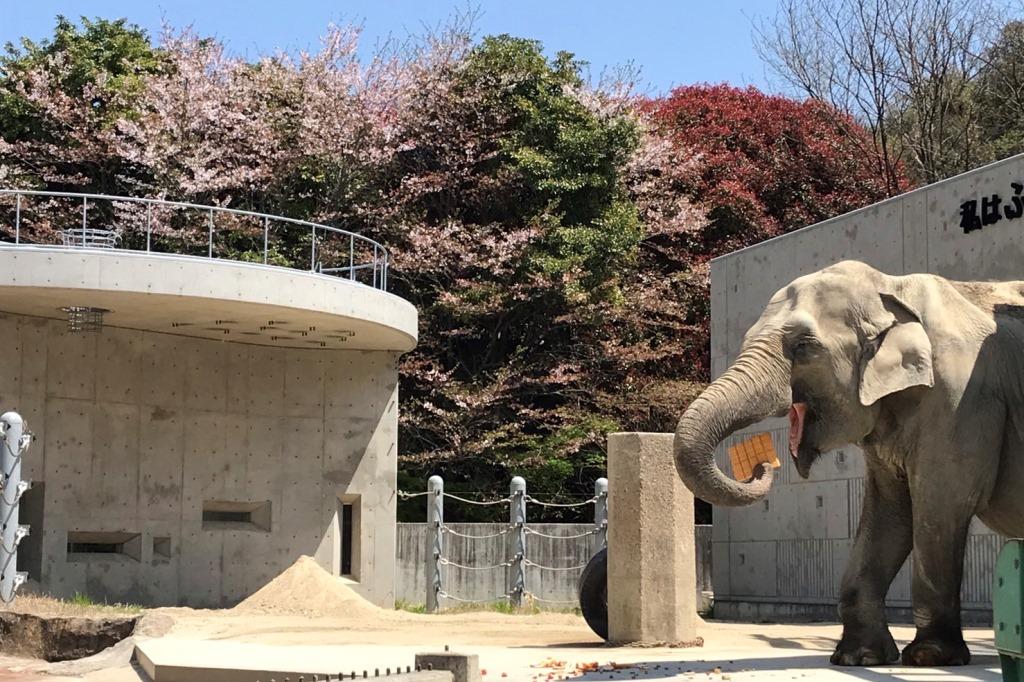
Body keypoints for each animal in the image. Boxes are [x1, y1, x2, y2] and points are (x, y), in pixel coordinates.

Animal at [671, 259, 1024, 663]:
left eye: (804, 346)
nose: (762, 464)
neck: (891, 290)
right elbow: (890, 513)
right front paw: (859, 658)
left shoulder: (959, 400)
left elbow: (940, 506)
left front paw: (929, 657)